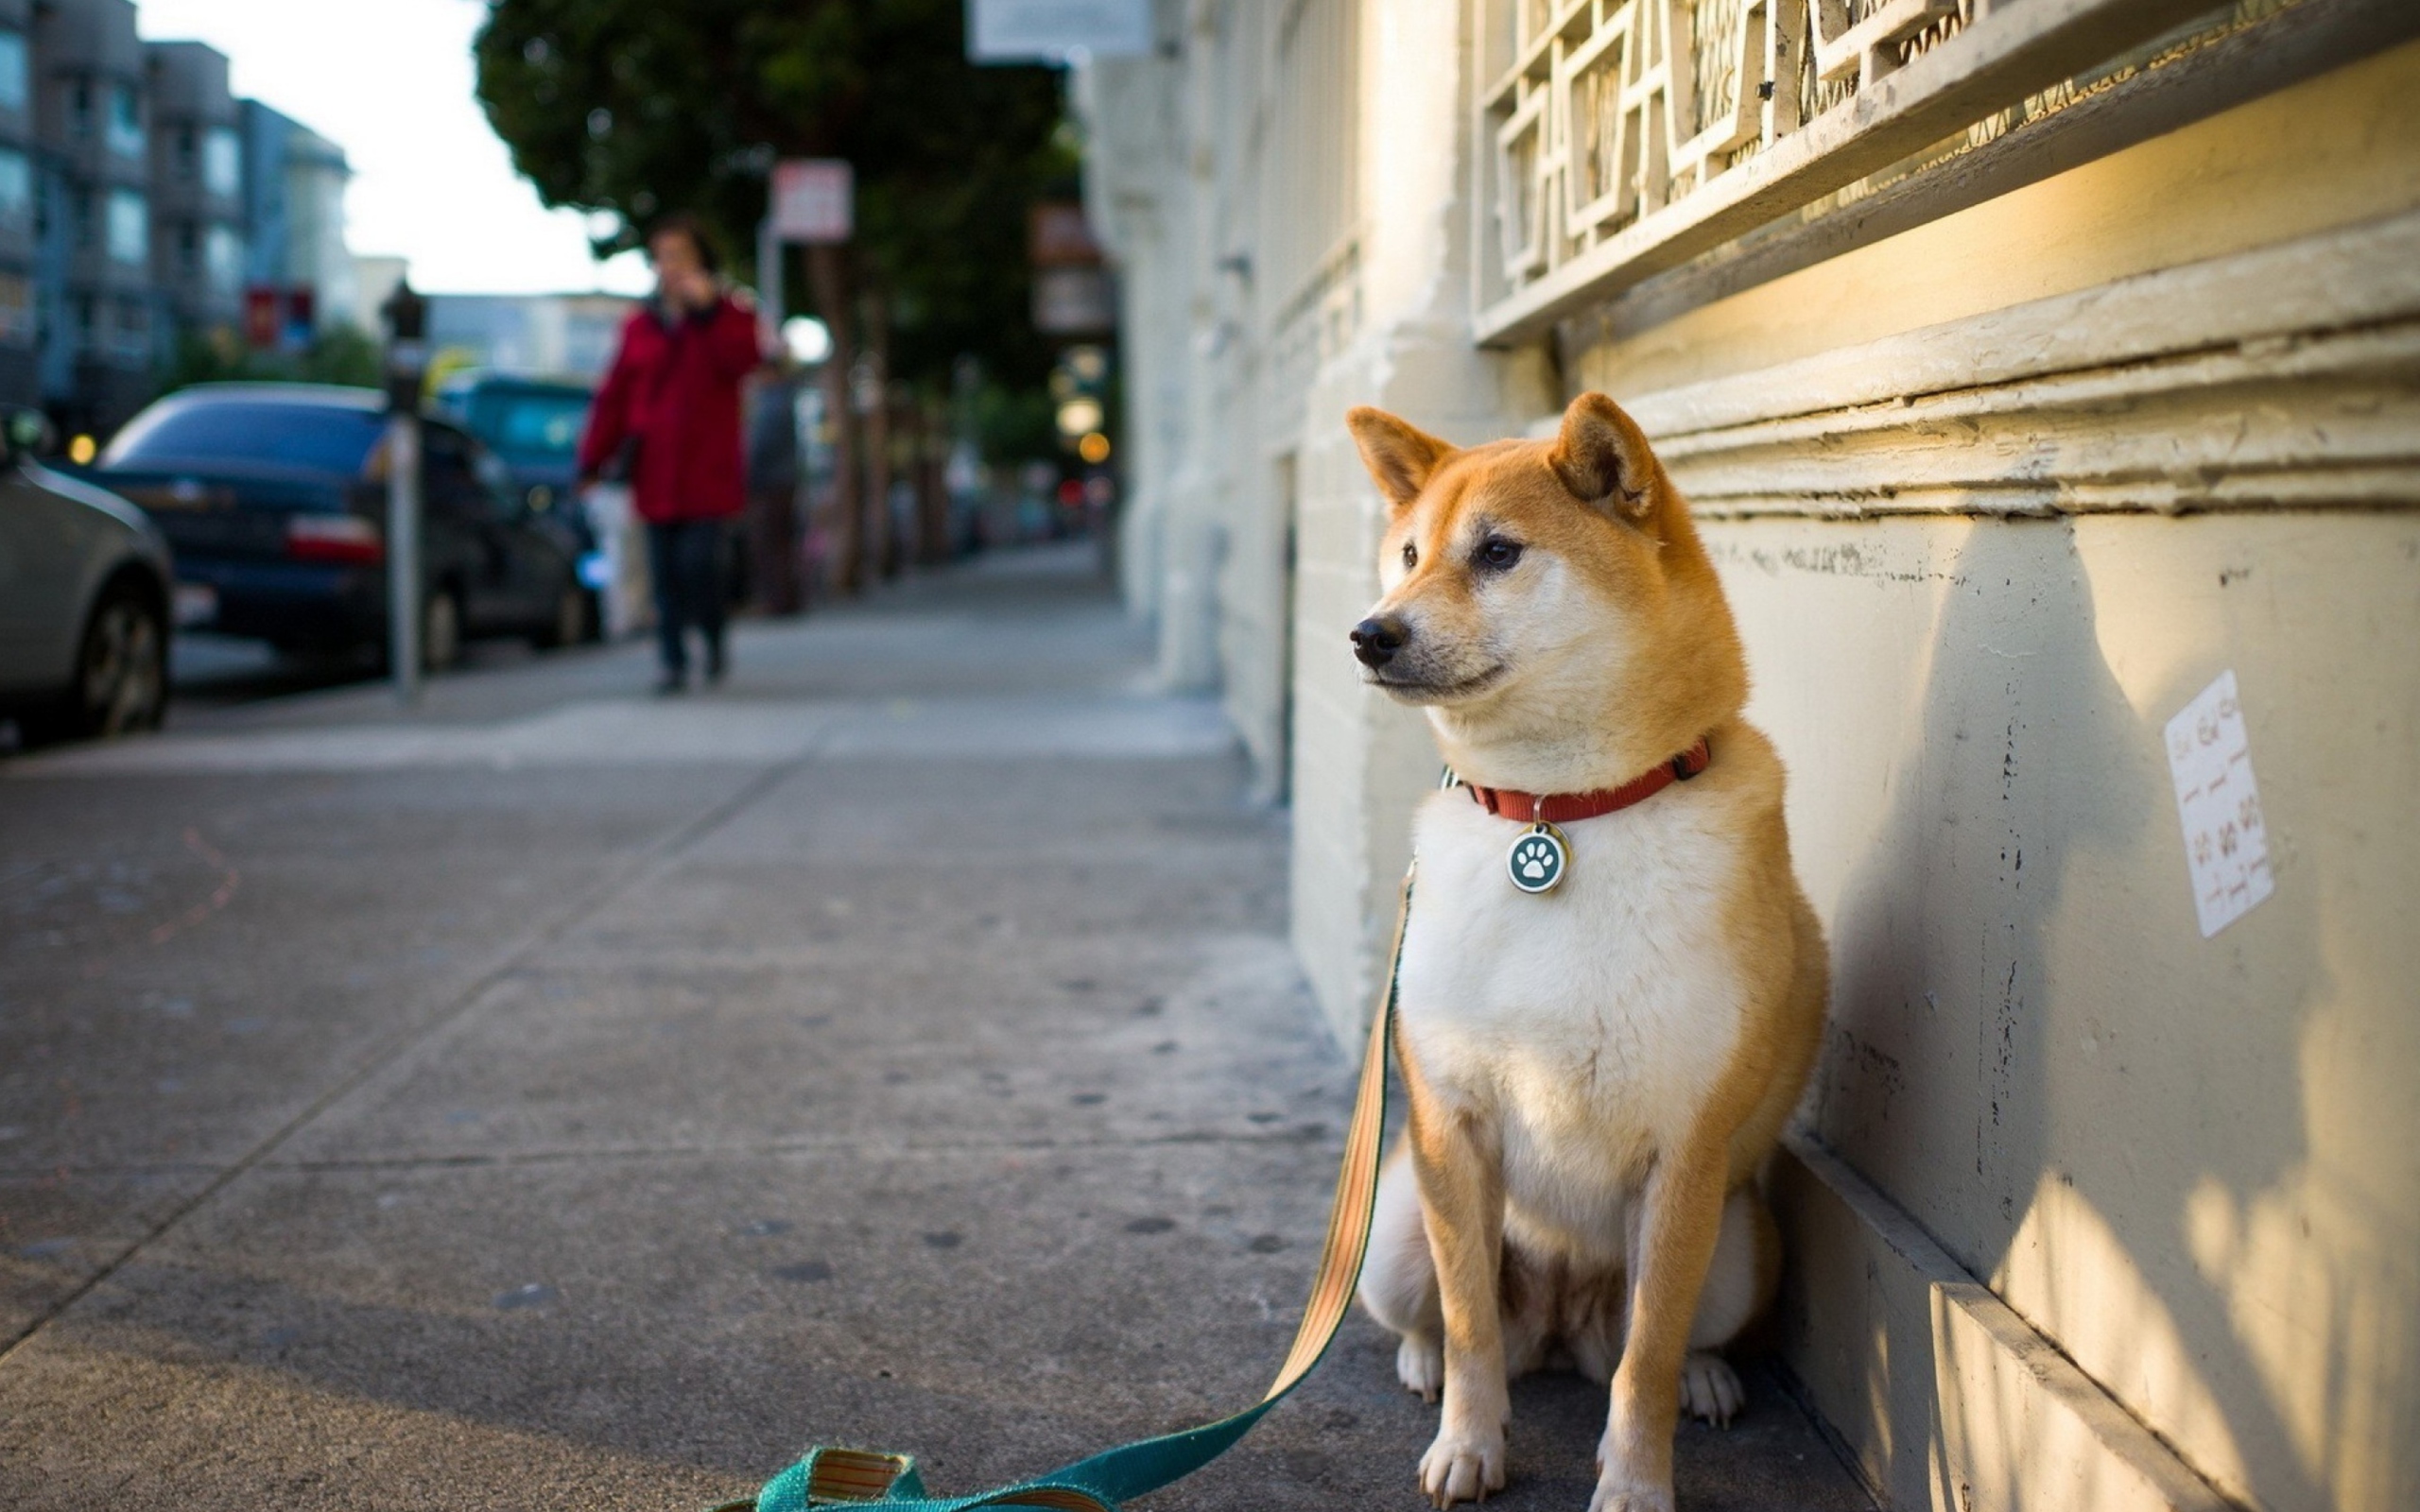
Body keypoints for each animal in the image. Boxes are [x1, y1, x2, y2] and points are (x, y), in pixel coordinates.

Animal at [1355, 391, 1820, 1509]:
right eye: (1408, 554)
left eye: (1498, 552)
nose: (1369, 634)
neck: (1558, 814)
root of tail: (1564, 1326)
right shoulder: (1452, 1123)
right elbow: (1471, 1320)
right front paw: (1467, 1443)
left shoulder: (1686, 1153)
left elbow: (1645, 1356)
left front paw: (1638, 1483)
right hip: (1394, 1224)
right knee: (1442, 1315)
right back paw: (1421, 1361)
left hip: (1743, 1243)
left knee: (1662, 1339)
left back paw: (1706, 1376)